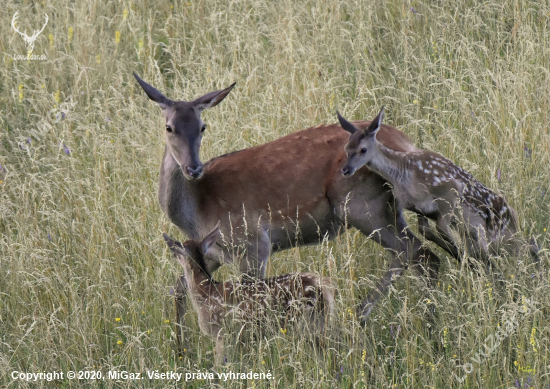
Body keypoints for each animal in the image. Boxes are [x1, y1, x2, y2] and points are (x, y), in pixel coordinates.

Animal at [135, 72, 444, 334]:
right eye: (169, 127)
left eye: (203, 126)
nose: (194, 168)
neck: (198, 210)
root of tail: (407, 146)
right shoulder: (212, 253)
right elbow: (178, 289)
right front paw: (182, 349)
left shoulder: (252, 245)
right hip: (387, 209)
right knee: (425, 256)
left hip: (361, 206)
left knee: (412, 252)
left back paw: (363, 316)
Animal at [163, 226, 336, 362]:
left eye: (178, 251)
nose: (172, 253)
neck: (205, 292)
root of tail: (323, 286)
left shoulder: (222, 333)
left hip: (307, 322)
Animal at [338, 106, 540, 264]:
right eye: (346, 148)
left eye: (363, 149)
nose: (346, 170)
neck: (405, 175)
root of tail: (512, 214)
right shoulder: (418, 208)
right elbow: (426, 231)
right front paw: (464, 259)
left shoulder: (449, 191)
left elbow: (442, 229)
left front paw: (467, 259)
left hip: (496, 233)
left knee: (525, 245)